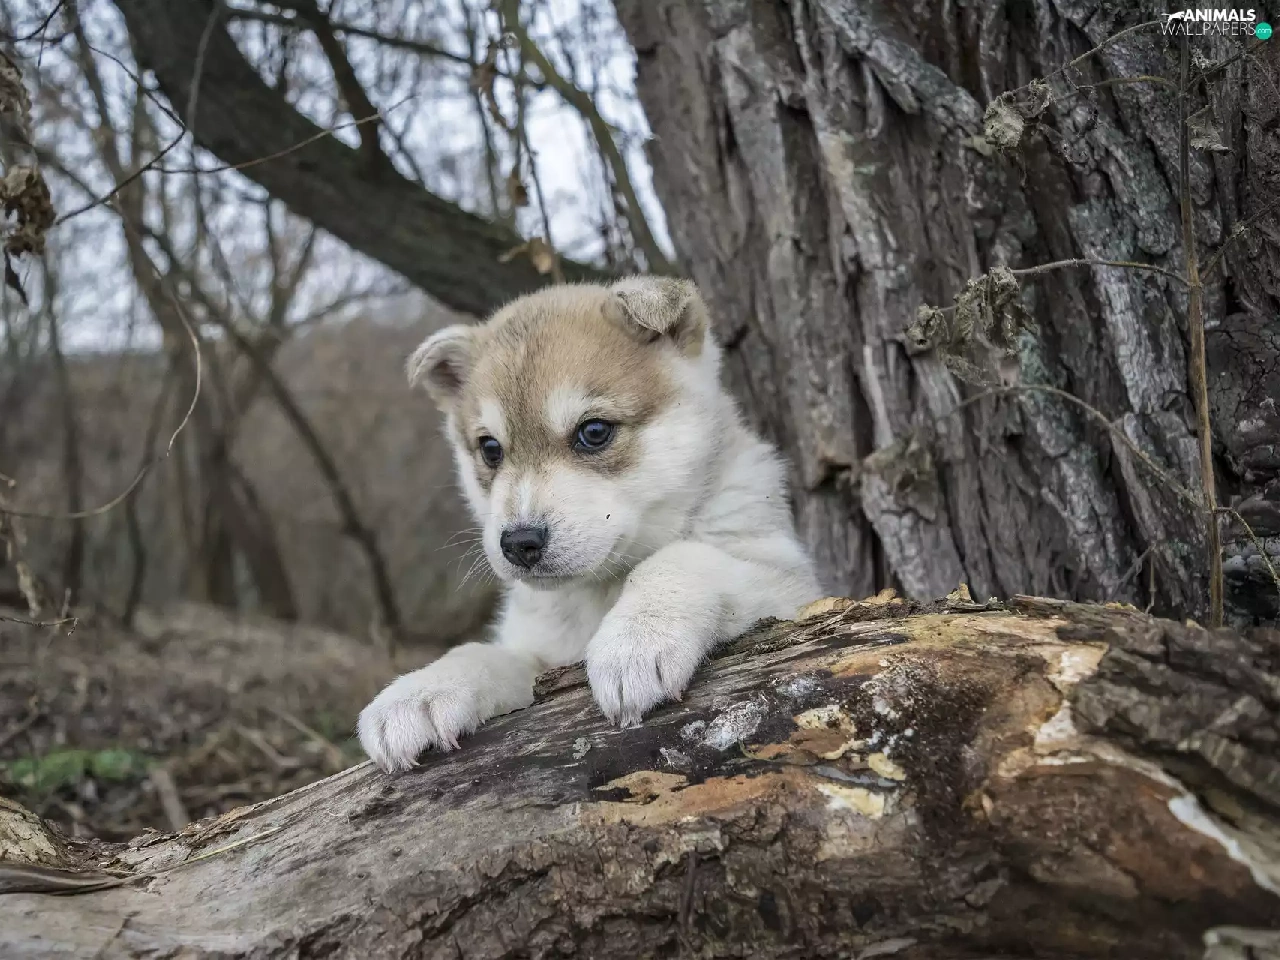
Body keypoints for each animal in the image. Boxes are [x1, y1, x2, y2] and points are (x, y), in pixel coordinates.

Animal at [358, 276, 821, 772]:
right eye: (490, 449)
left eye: (594, 432)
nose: (519, 543)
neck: (599, 594)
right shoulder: (541, 655)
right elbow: (481, 653)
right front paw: (421, 691)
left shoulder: (791, 586)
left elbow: (680, 556)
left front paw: (635, 638)